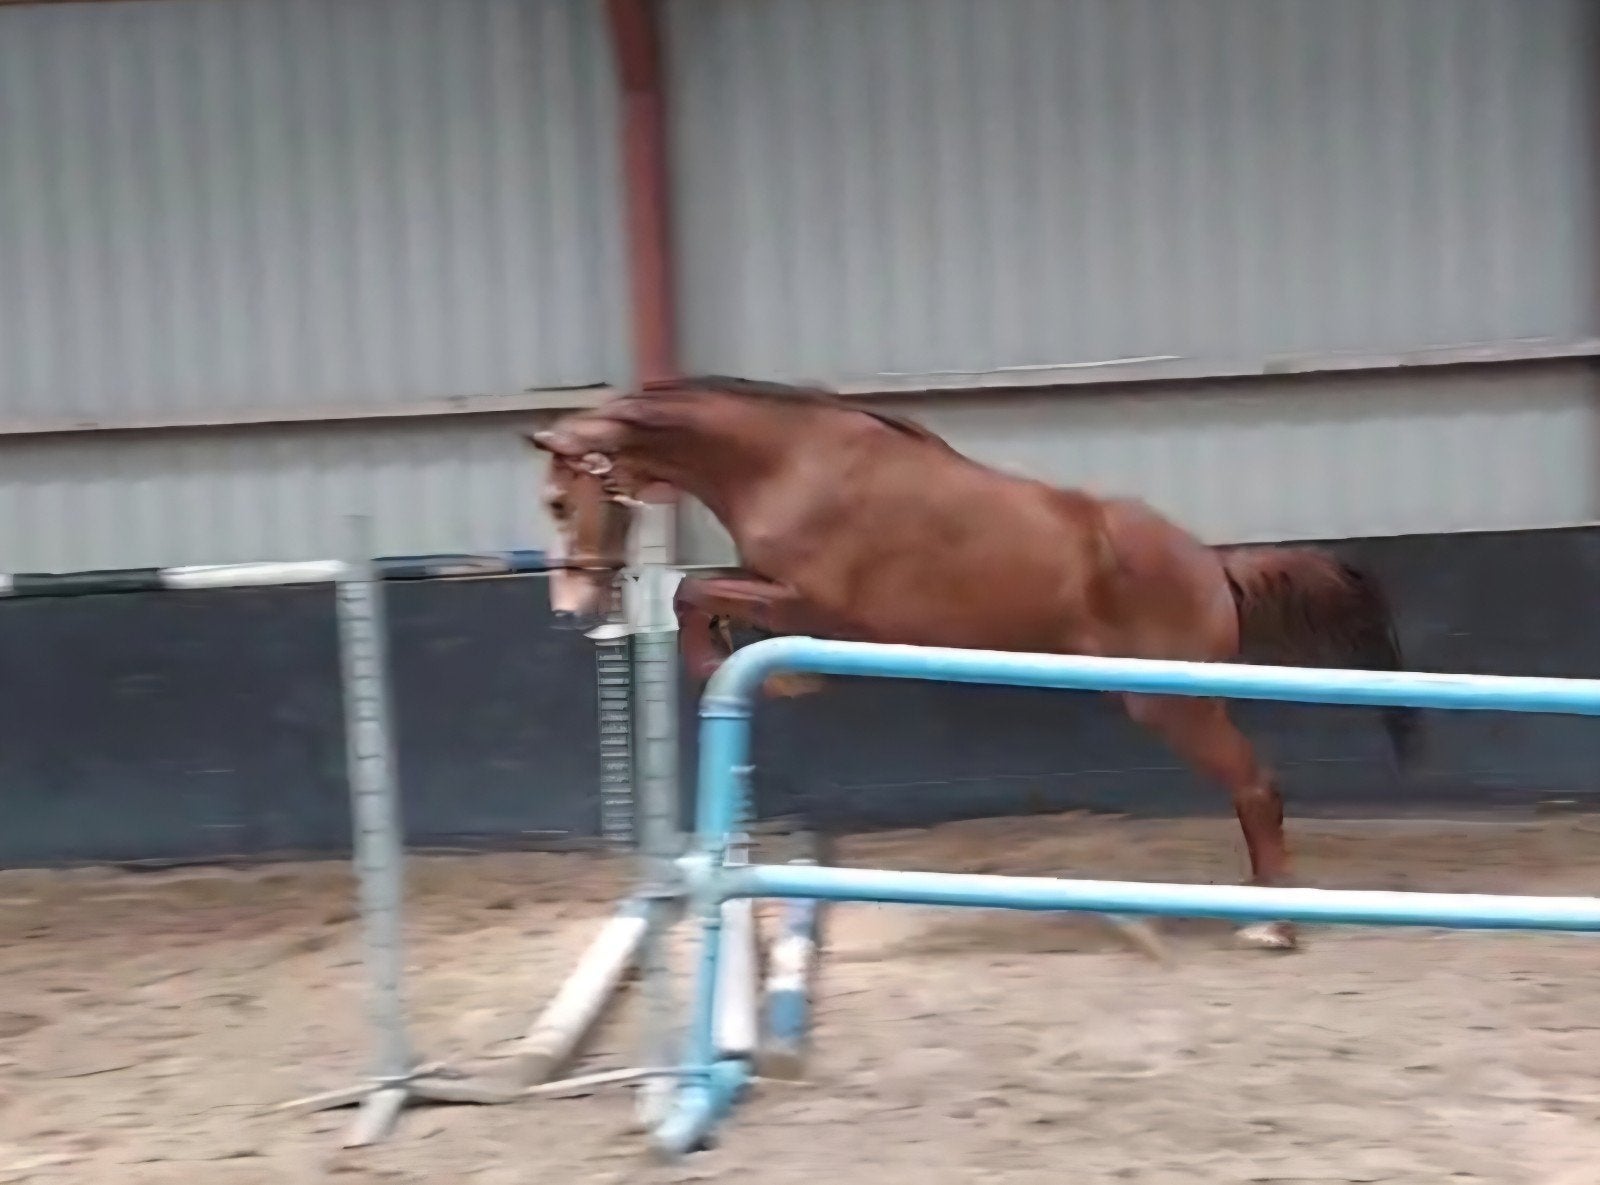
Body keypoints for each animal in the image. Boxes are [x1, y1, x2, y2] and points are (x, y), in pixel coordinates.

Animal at [526, 375, 1419, 952]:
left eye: (560, 502)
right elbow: (701, 594)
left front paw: (759, 673)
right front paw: (768, 672)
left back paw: (1274, 924)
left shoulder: (810, 602)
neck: (790, 463)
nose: (571, 609)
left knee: (1257, 789)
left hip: (1172, 702)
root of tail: (1212, 567)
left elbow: (693, 596)